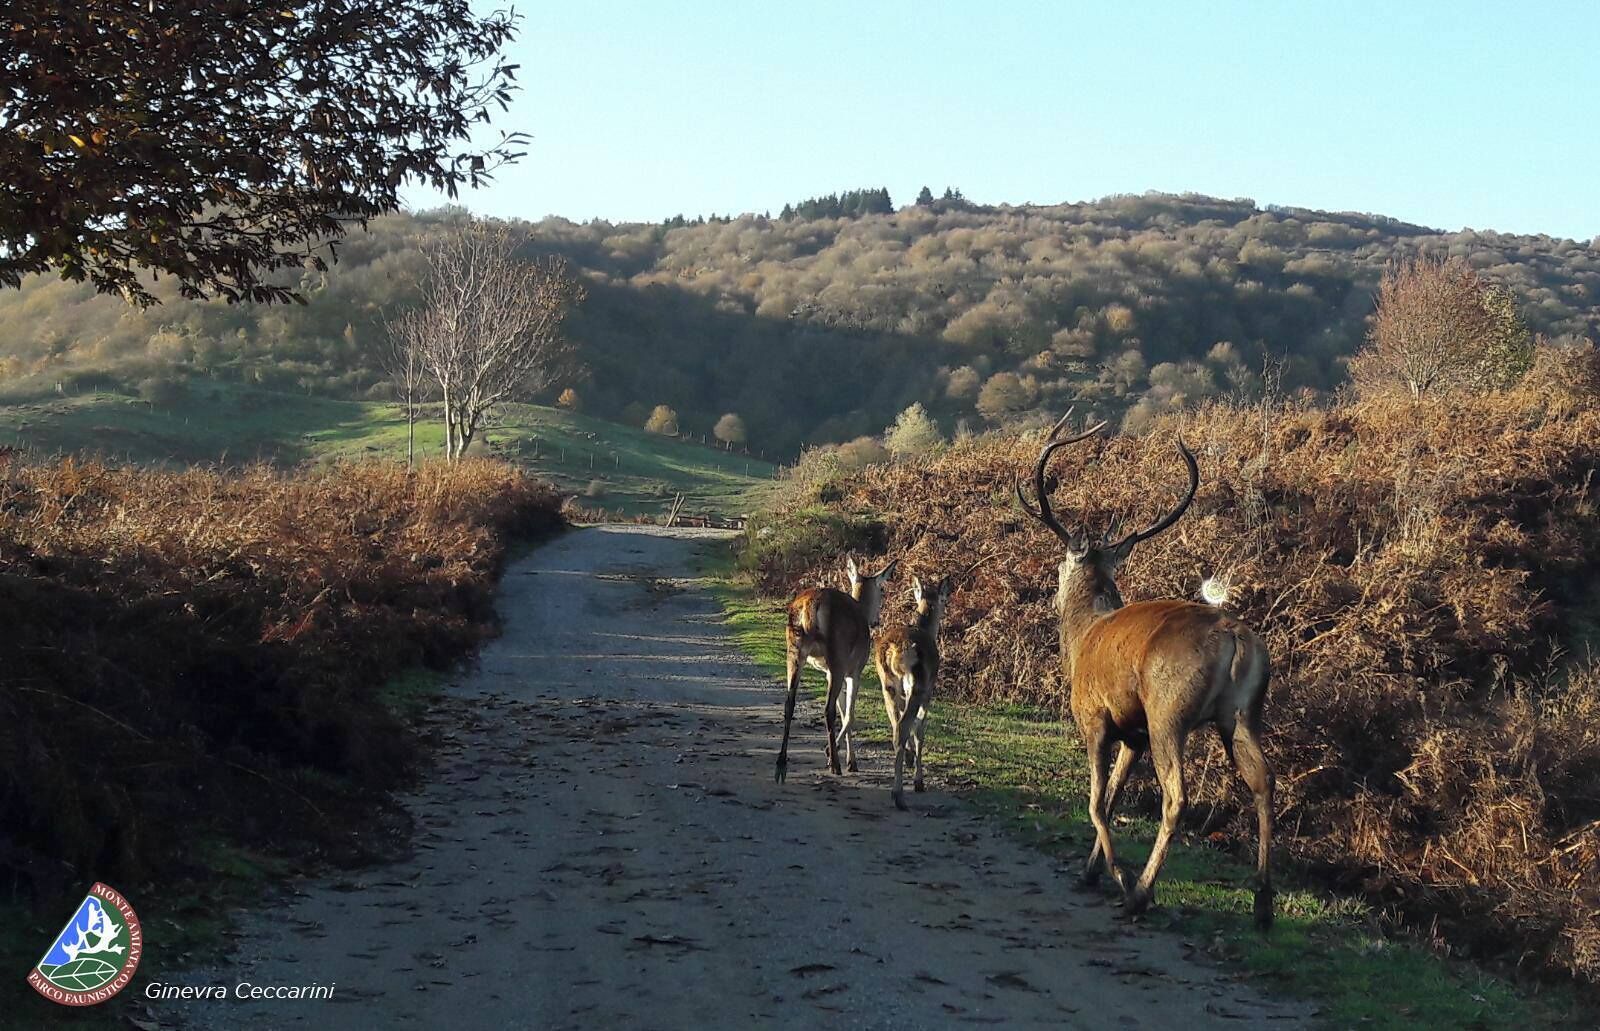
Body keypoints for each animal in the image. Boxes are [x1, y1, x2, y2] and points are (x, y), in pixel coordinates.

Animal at [776, 555, 898, 783]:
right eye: (882, 590)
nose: (877, 620)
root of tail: (810, 606)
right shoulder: (854, 671)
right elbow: (849, 713)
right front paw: (846, 760)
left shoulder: (828, 673)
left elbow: (844, 710)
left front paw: (845, 757)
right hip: (837, 654)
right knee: (828, 709)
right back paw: (835, 765)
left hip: (794, 649)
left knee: (789, 703)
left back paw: (781, 764)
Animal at [1017, 412, 1276, 930]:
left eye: (1060, 568)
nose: (1051, 592)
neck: (1081, 637)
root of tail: (1236, 639)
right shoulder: (1131, 734)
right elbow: (1114, 798)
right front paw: (1090, 869)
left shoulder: (1095, 718)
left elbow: (1096, 801)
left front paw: (1115, 873)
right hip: (1242, 713)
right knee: (1263, 782)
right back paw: (1262, 903)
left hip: (1168, 712)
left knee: (1177, 797)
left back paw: (1140, 892)